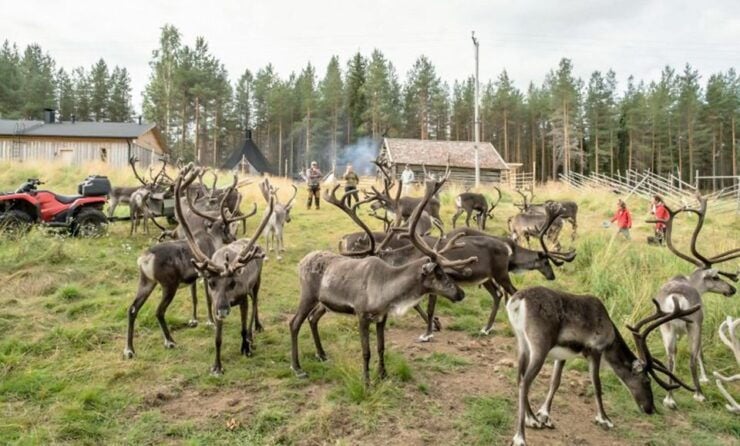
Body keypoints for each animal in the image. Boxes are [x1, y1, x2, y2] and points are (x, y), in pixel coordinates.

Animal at [123, 167, 254, 359]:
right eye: (226, 228)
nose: (233, 238)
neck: (212, 239)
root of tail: (145, 258)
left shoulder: (194, 277)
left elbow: (194, 297)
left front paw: (195, 320)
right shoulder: (207, 275)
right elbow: (207, 298)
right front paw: (210, 321)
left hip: (146, 282)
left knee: (132, 309)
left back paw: (129, 349)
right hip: (168, 284)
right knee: (159, 311)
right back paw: (170, 341)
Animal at [174, 167, 274, 375]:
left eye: (232, 283)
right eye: (212, 283)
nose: (222, 310)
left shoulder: (242, 298)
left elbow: (243, 328)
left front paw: (246, 347)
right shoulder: (214, 301)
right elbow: (217, 339)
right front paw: (217, 366)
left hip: (257, 283)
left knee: (255, 304)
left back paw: (255, 330)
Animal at [289, 172, 478, 385]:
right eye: (437, 274)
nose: (461, 293)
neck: (386, 289)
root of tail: (302, 261)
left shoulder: (382, 317)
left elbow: (381, 347)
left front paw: (383, 374)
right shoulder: (362, 315)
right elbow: (366, 351)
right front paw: (367, 382)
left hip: (323, 302)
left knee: (312, 319)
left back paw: (321, 354)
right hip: (308, 295)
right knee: (294, 323)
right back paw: (297, 368)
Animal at [507, 287, 700, 446]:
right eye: (647, 381)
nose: (650, 409)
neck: (611, 335)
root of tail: (518, 300)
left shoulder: (562, 355)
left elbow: (555, 383)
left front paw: (544, 416)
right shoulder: (596, 350)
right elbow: (597, 386)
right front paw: (604, 419)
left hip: (522, 343)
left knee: (519, 379)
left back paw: (532, 420)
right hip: (540, 345)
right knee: (525, 382)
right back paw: (520, 437)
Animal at [646, 196, 738, 409]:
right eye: (716, 277)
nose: (732, 289)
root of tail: (676, 298)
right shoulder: (699, 321)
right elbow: (700, 353)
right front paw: (704, 379)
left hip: (666, 327)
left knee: (671, 356)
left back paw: (669, 398)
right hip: (693, 323)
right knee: (692, 357)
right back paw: (699, 394)